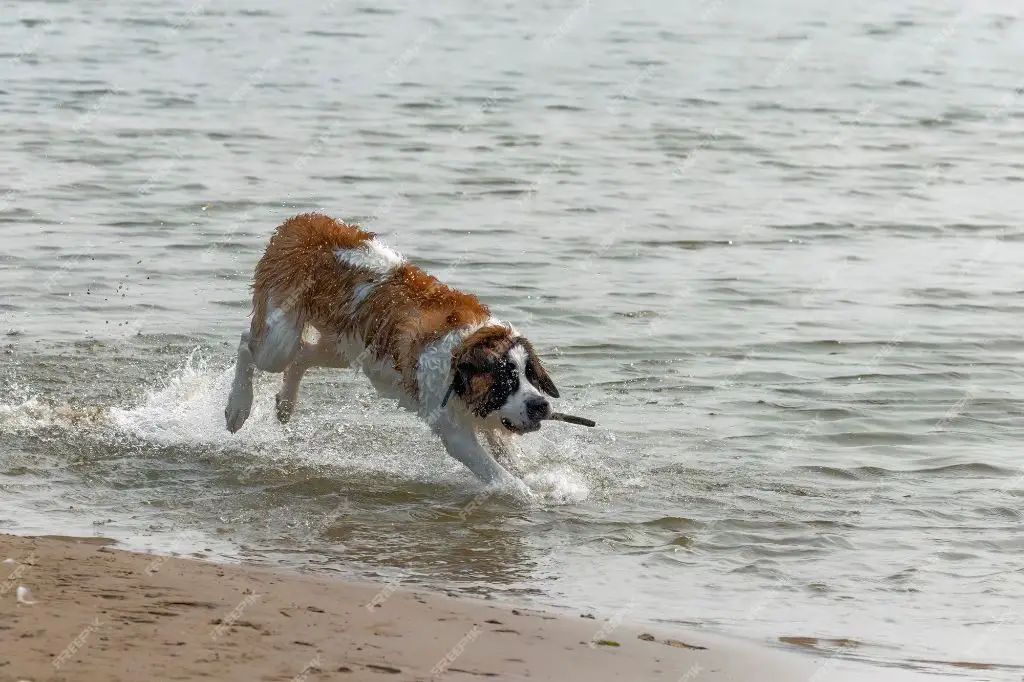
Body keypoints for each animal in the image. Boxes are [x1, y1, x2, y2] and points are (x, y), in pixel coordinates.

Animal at [224, 210, 561, 483]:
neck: (464, 346)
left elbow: (507, 455)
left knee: (302, 356)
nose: (540, 405)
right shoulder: (454, 431)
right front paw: (527, 495)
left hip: (347, 347)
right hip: (280, 338)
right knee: (247, 344)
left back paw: (285, 404)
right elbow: (499, 475)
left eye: (530, 375)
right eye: (505, 378)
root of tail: (300, 221)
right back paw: (238, 407)